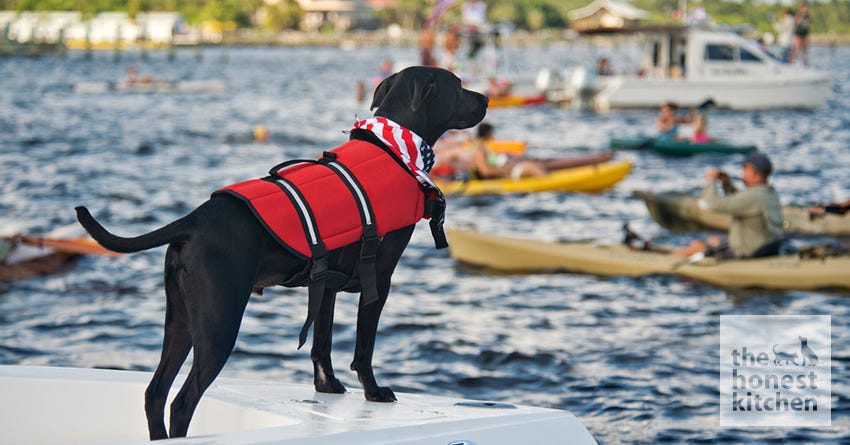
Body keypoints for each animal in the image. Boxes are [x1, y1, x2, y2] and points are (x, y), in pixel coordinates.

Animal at [77, 67, 486, 440]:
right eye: (458, 86)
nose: (485, 99)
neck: (391, 147)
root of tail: (193, 220)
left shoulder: (325, 285)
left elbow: (321, 344)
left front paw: (327, 387)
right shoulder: (378, 281)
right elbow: (364, 349)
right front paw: (374, 392)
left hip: (180, 322)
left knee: (154, 394)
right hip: (219, 324)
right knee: (180, 403)